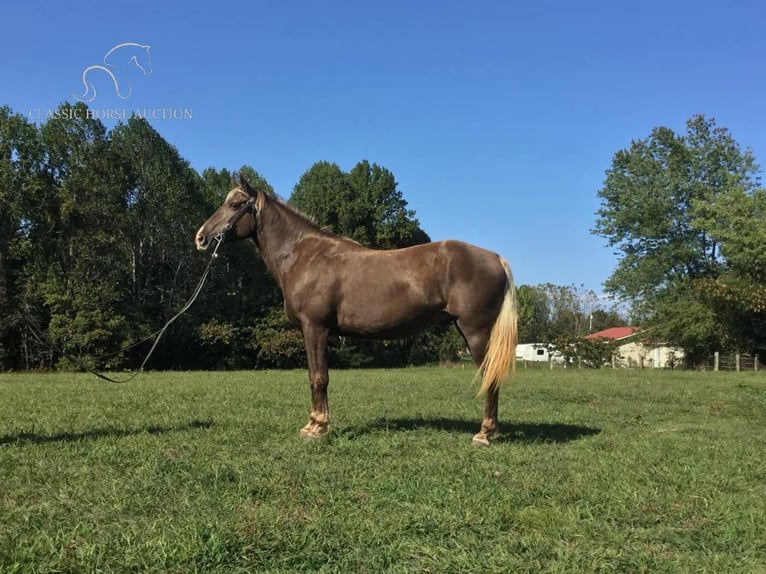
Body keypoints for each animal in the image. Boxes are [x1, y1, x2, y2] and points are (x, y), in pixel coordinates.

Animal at [196, 178, 520, 448]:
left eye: (235, 205)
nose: (201, 238)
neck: (305, 257)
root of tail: (494, 257)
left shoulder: (315, 328)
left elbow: (318, 377)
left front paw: (317, 427)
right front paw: (316, 424)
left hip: (475, 331)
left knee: (490, 378)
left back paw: (484, 434)